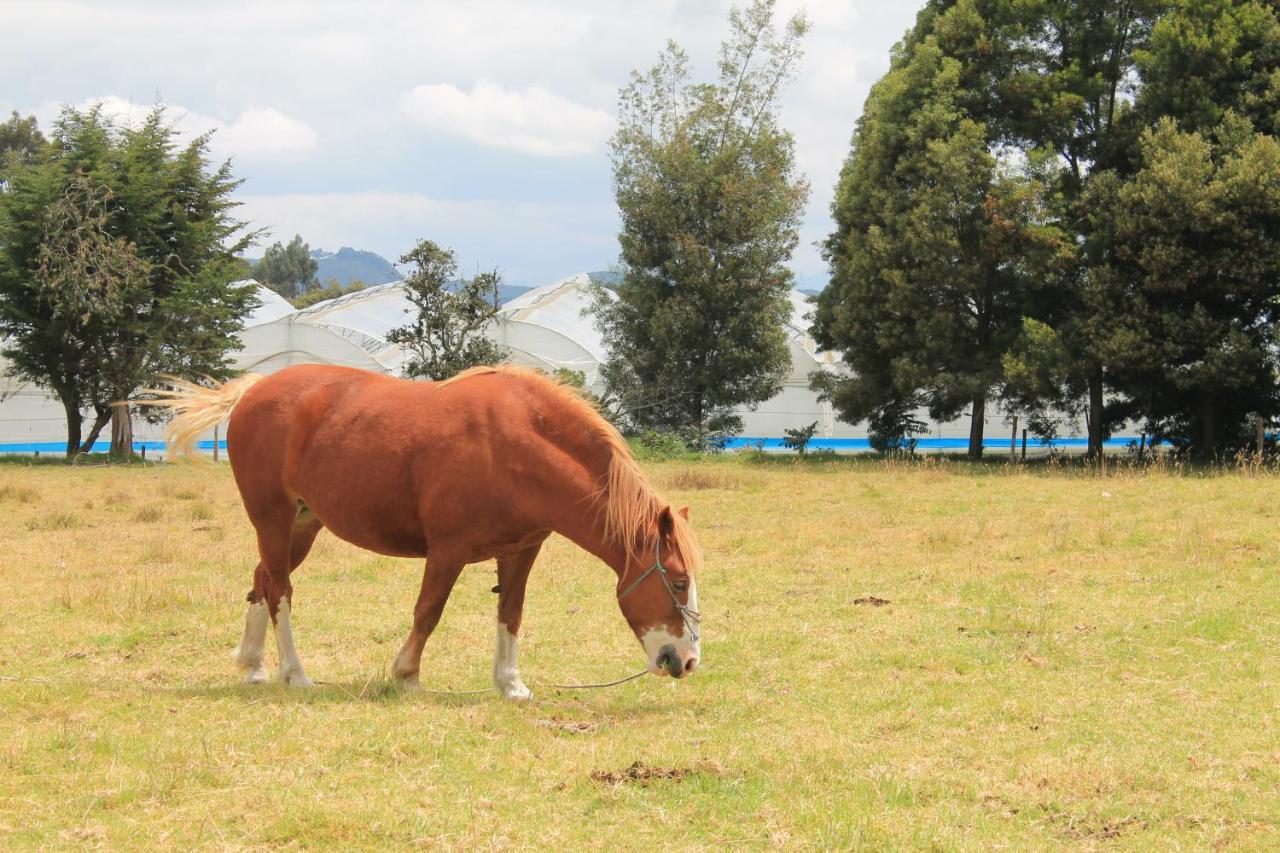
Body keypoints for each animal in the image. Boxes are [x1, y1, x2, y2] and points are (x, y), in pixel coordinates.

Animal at [154, 363, 706, 696]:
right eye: (679, 582)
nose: (686, 660)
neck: (514, 445)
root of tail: (255, 390)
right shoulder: (448, 550)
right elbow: (429, 610)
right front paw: (406, 674)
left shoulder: (521, 550)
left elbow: (510, 613)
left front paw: (510, 684)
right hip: (272, 515)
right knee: (281, 592)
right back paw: (295, 673)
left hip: (303, 524)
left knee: (263, 580)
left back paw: (253, 666)